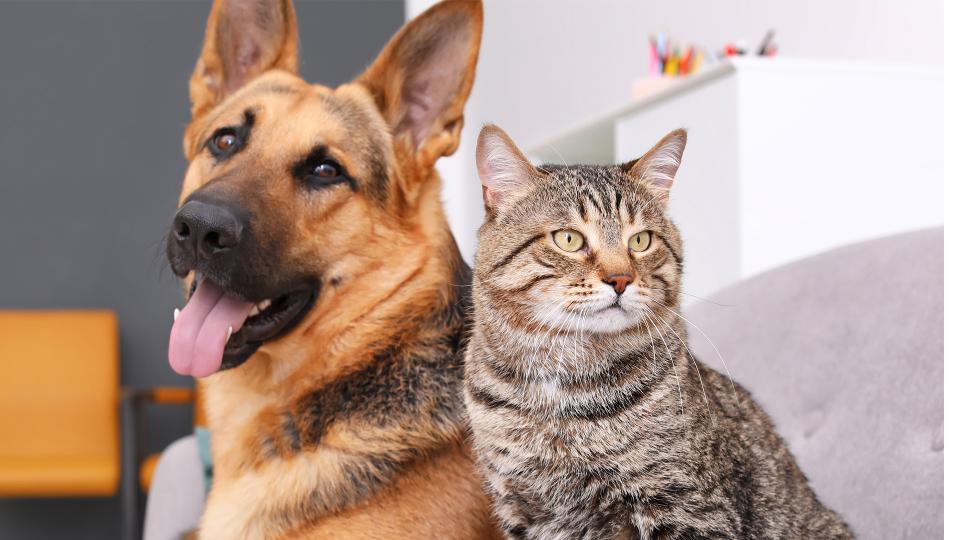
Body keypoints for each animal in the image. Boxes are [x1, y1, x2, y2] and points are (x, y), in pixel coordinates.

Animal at [462, 124, 852, 536]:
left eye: (640, 240)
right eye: (568, 239)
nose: (620, 279)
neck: (559, 388)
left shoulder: (683, 505)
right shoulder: (520, 511)